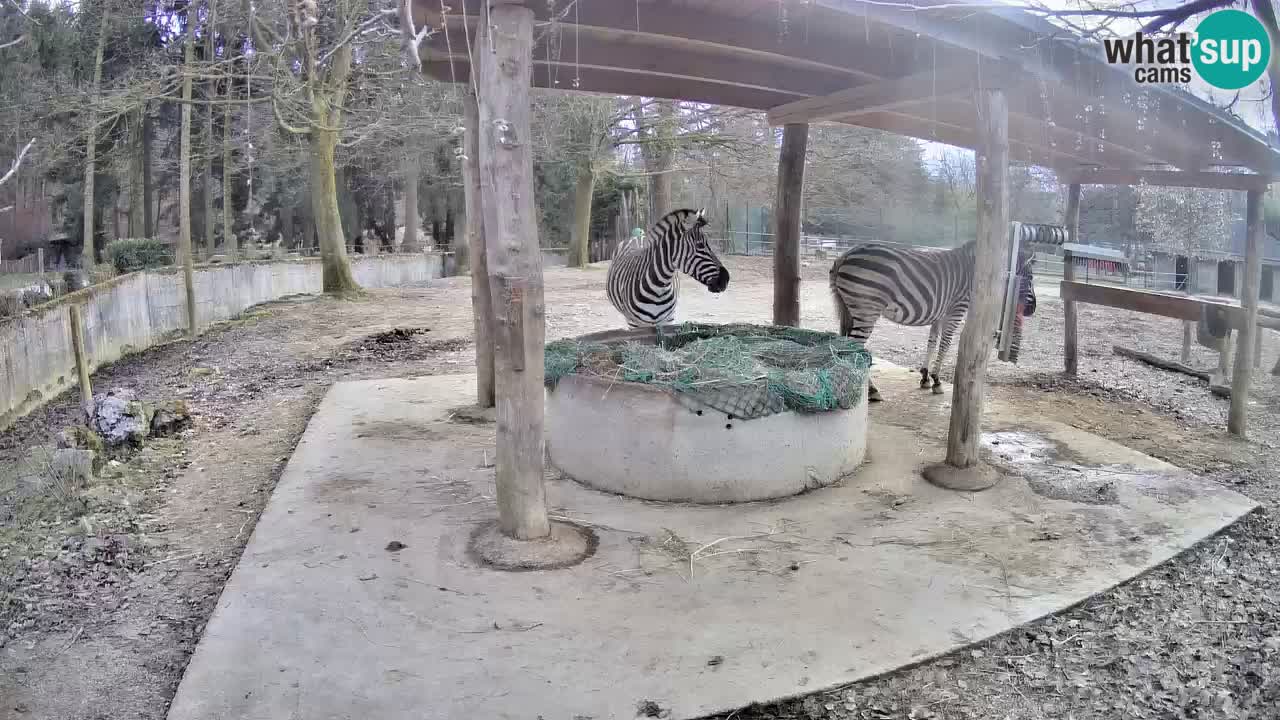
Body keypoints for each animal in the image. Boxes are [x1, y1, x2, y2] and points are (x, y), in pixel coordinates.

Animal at [829, 238, 1039, 399]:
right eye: (1029, 278)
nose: (1032, 309)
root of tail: (846, 254)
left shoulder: (939, 314)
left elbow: (932, 341)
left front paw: (925, 377)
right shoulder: (956, 310)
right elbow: (945, 344)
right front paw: (937, 380)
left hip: (852, 311)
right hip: (867, 310)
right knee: (852, 347)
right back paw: (871, 390)